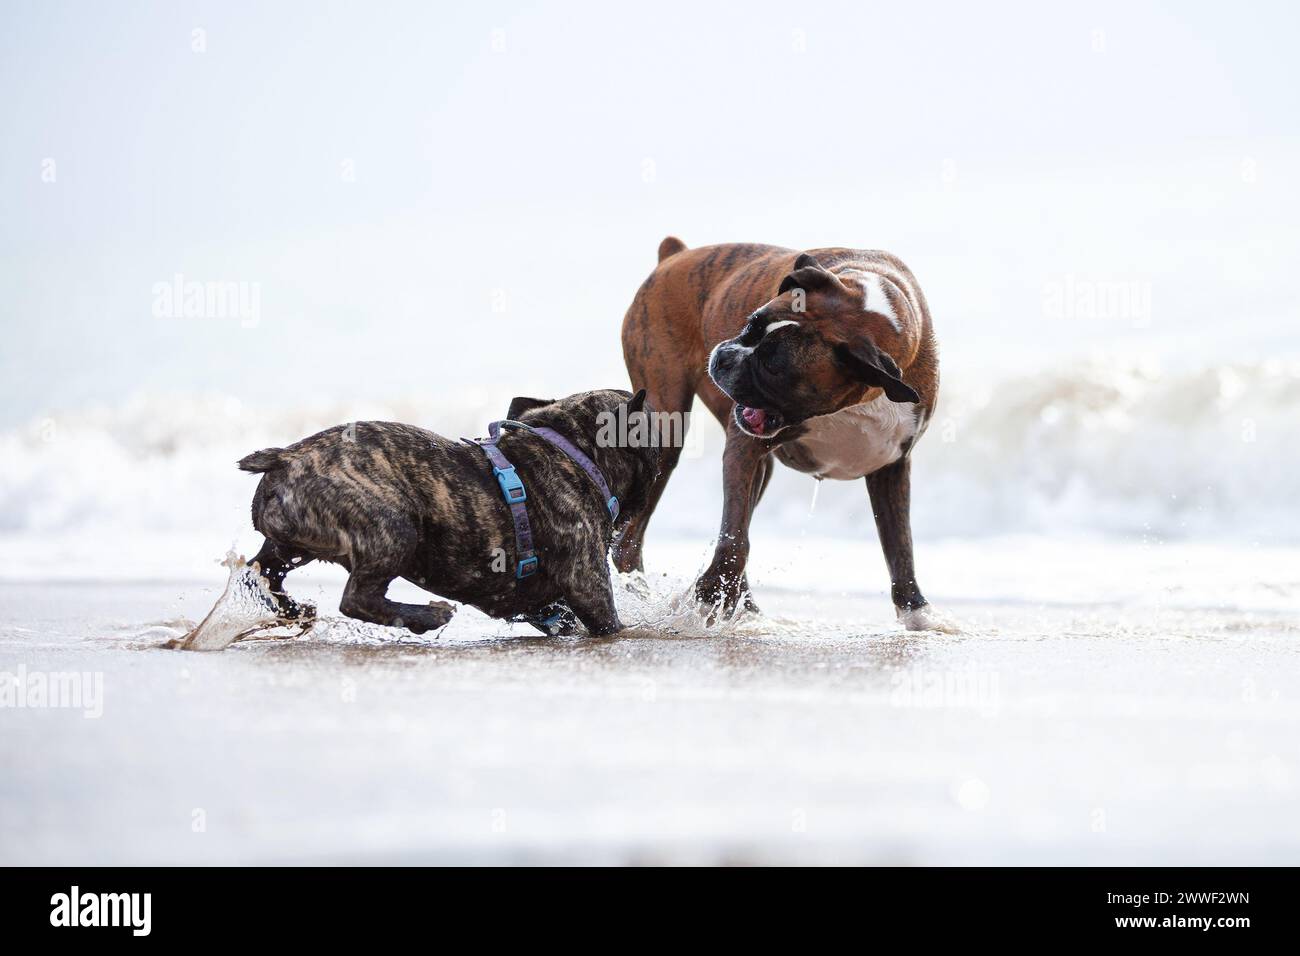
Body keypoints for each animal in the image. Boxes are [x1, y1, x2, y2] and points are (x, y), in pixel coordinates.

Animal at [235, 385, 655, 639]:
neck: (576, 451)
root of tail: (286, 457)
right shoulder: (587, 583)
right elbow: (607, 620)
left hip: (290, 543)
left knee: (260, 572)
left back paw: (296, 611)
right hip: (393, 527)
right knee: (357, 597)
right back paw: (425, 617)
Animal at [613, 236, 951, 632]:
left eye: (774, 368)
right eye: (750, 325)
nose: (724, 356)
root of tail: (675, 255)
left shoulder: (892, 467)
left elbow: (900, 544)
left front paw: (917, 611)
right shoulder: (743, 448)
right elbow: (735, 540)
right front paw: (706, 598)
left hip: (760, 469)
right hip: (666, 433)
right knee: (631, 543)